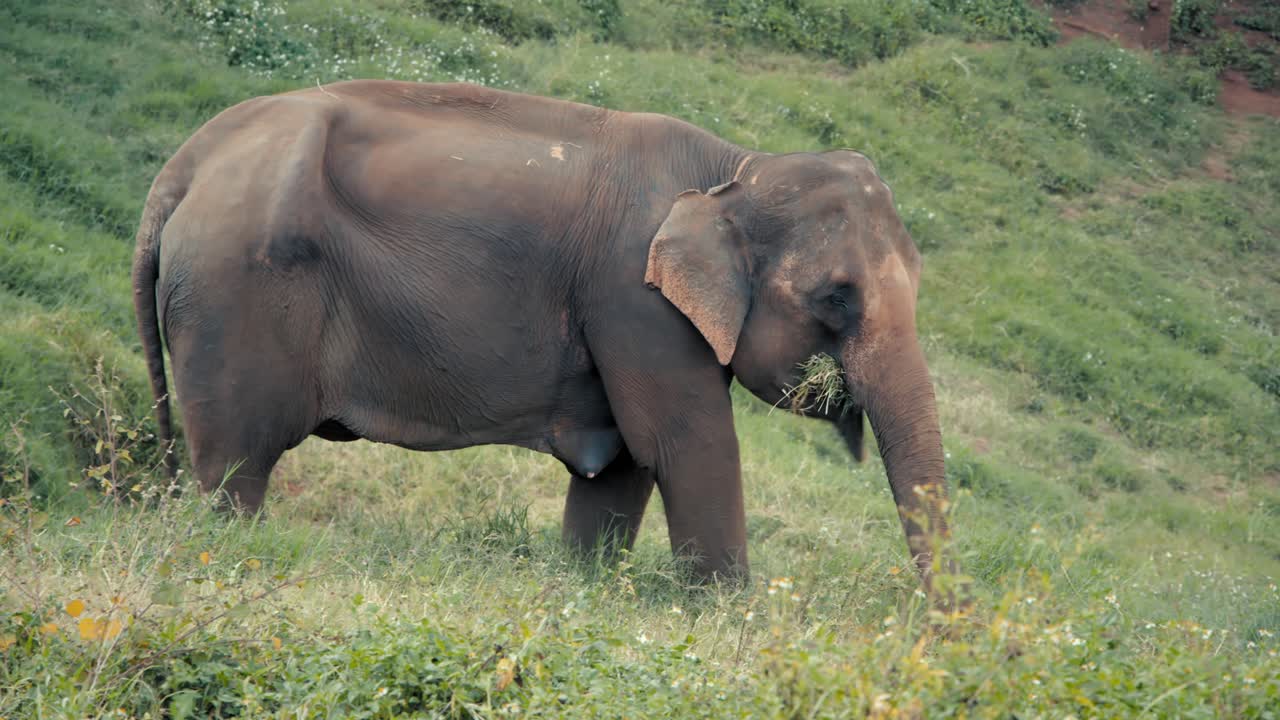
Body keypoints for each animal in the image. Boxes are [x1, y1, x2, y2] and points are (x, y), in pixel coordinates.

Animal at [132, 80, 952, 588]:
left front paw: (585, 584)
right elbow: (686, 445)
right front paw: (729, 615)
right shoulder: (633, 298)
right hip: (238, 292)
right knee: (237, 462)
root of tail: (182, 168)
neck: (736, 168)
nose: (938, 629)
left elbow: (621, 464)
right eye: (837, 298)